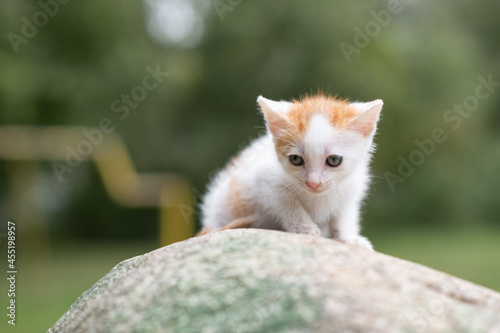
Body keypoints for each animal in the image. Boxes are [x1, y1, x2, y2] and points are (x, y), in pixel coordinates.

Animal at [199, 92, 382, 249]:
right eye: (296, 159)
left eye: (333, 160)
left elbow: (343, 215)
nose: (313, 183)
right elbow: (287, 203)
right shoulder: (265, 181)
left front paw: (348, 238)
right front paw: (304, 228)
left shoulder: (351, 186)